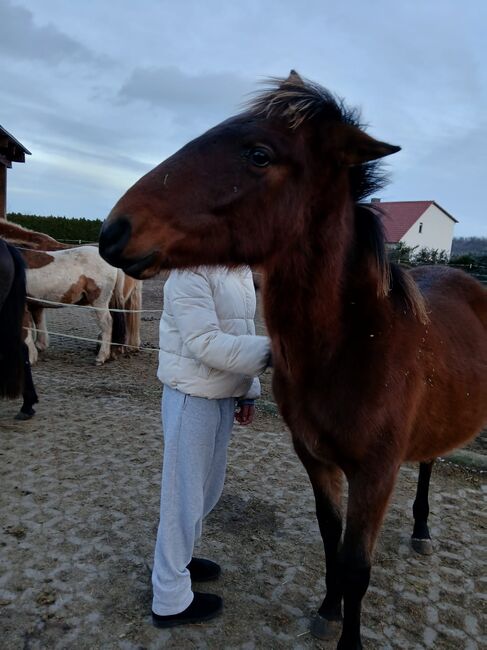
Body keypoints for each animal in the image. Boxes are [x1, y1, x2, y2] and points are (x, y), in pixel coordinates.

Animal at [99, 72, 487, 648]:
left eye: (260, 154)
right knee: (430, 460)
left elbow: (356, 565)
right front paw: (328, 611)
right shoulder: (316, 459)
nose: (114, 232)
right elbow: (331, 540)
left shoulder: (375, 474)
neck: (352, 348)